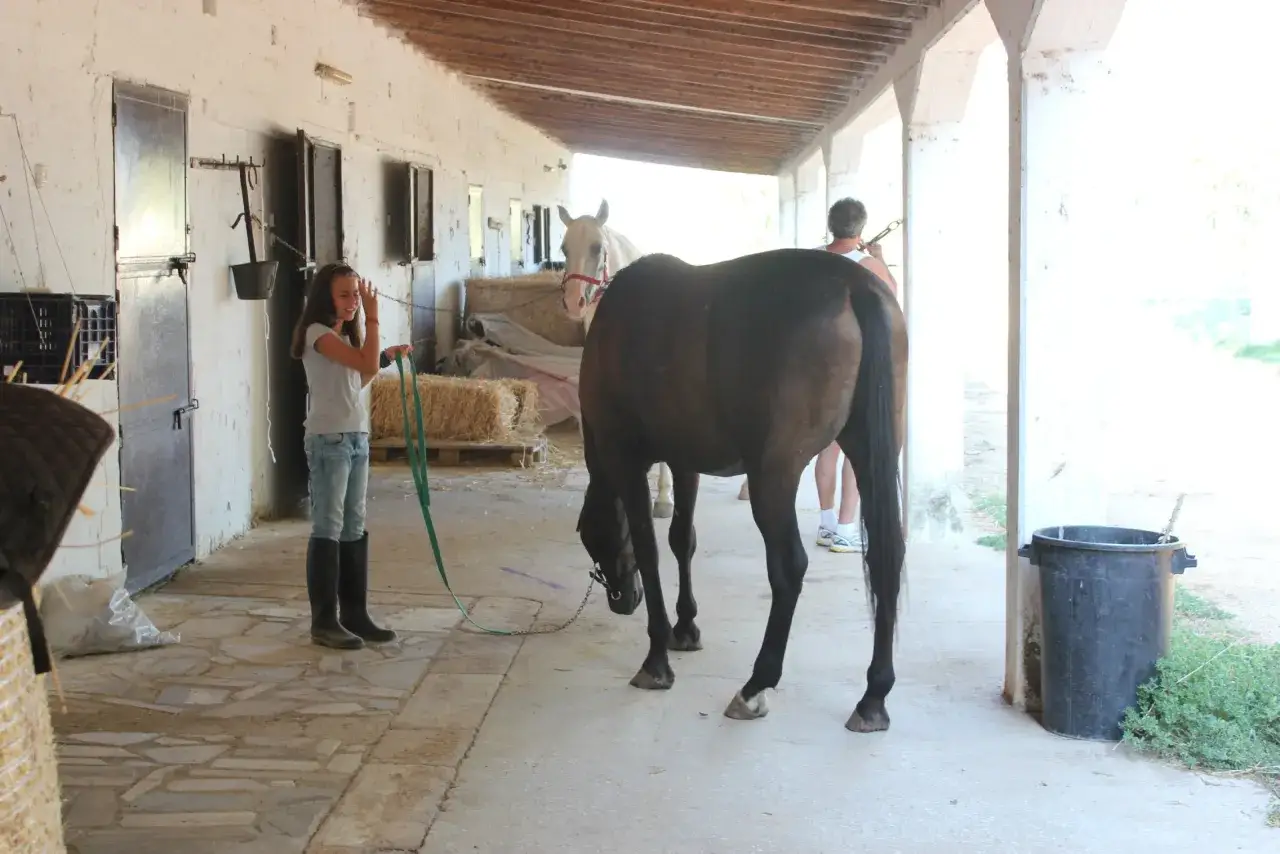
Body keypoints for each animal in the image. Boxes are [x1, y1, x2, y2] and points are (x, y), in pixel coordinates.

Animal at [575, 247, 908, 731]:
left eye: (590, 538)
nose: (622, 601)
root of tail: (854, 285)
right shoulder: (684, 461)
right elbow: (682, 540)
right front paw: (685, 628)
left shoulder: (626, 460)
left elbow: (650, 550)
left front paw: (657, 658)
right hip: (869, 455)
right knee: (886, 556)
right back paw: (873, 697)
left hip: (775, 476)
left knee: (789, 568)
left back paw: (755, 686)